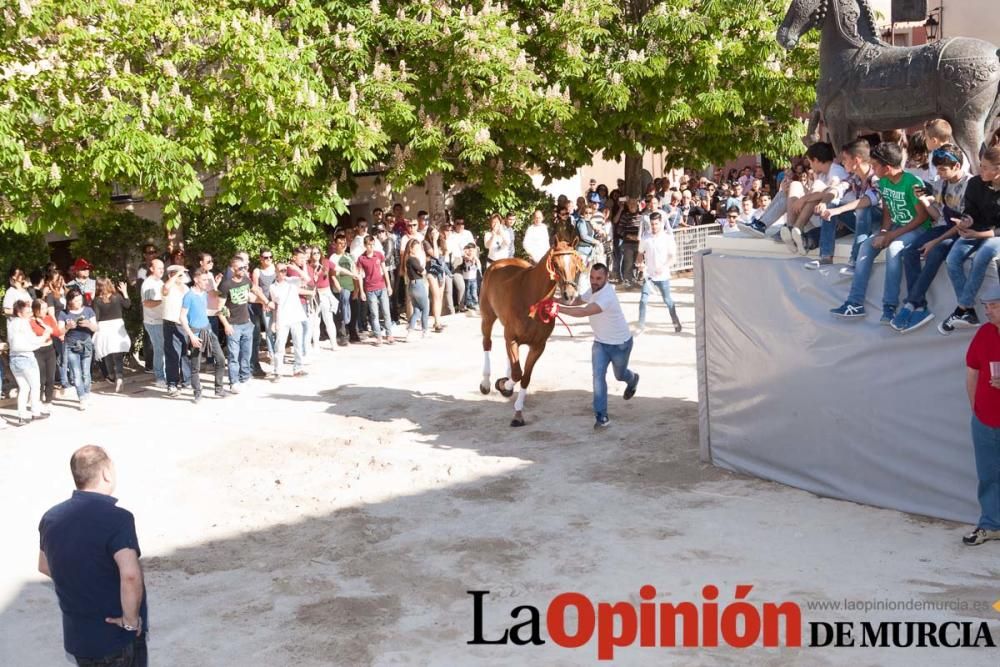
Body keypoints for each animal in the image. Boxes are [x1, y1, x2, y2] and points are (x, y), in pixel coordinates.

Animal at [478, 237, 584, 428]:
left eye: (576, 264)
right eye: (555, 264)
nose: (569, 295)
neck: (531, 298)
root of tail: (497, 263)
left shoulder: (538, 346)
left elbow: (524, 376)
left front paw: (517, 413)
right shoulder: (512, 338)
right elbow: (517, 373)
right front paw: (502, 385)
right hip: (488, 318)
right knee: (487, 344)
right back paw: (486, 383)